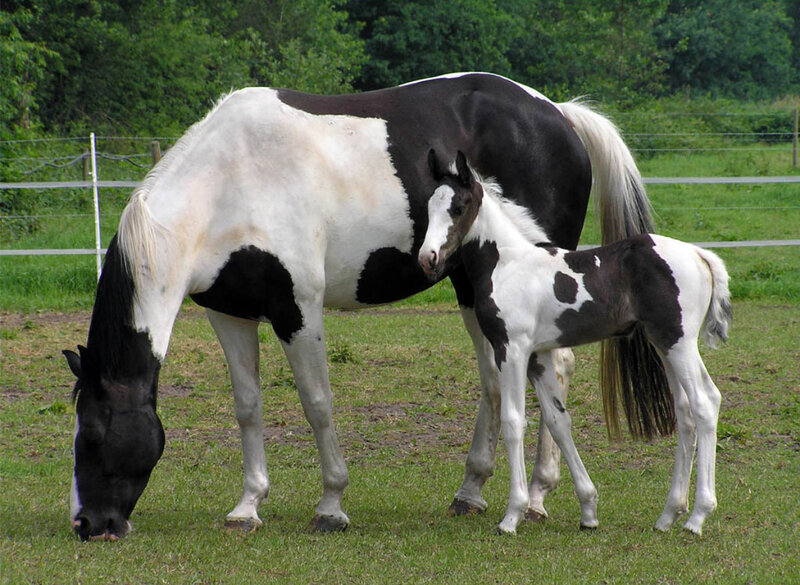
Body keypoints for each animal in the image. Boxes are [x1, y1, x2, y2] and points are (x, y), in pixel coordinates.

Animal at [61, 72, 663, 541]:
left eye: (92, 434)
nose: (88, 525)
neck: (228, 182)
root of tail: (559, 114)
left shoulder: (298, 309)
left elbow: (317, 403)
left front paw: (331, 505)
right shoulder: (228, 313)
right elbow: (248, 406)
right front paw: (247, 506)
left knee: (553, 368)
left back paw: (536, 496)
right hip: (473, 288)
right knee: (498, 380)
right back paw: (472, 492)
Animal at [419, 150, 731, 535]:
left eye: (459, 207)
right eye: (429, 206)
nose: (428, 258)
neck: (508, 263)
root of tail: (701, 256)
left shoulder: (512, 350)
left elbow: (513, 421)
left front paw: (512, 515)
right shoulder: (538, 357)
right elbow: (558, 422)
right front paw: (588, 510)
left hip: (680, 343)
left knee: (705, 403)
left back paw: (698, 516)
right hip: (664, 344)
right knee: (686, 411)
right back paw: (668, 515)